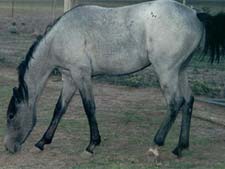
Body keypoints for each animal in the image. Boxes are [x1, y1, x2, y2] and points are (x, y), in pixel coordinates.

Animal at [3, 0, 225, 157]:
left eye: (11, 115)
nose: (8, 147)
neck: (60, 36)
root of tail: (195, 15)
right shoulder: (69, 77)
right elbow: (60, 109)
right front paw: (42, 142)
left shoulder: (81, 75)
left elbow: (89, 107)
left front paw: (92, 145)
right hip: (181, 70)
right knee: (188, 101)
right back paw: (180, 148)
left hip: (166, 71)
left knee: (175, 103)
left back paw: (155, 145)